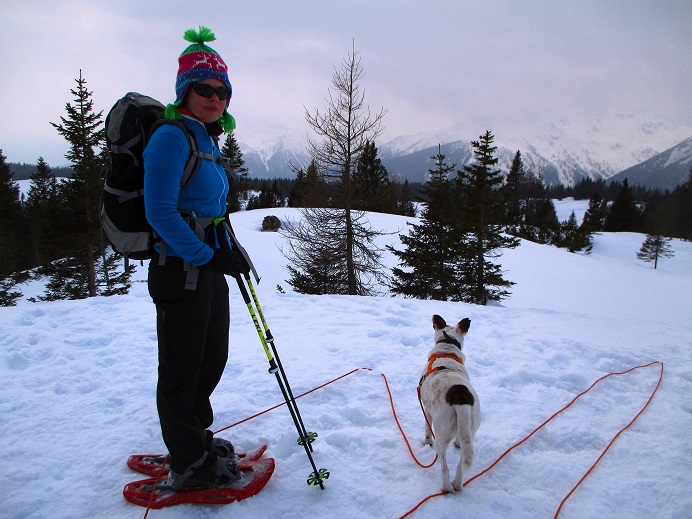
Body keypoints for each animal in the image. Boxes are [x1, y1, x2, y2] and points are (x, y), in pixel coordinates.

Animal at [419, 315, 480, 493]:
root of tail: (460, 397)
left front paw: (426, 442)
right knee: (461, 465)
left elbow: (427, 430)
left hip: (442, 432)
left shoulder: (427, 409)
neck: (447, 348)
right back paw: (457, 484)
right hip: (472, 426)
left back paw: (446, 488)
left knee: (444, 467)